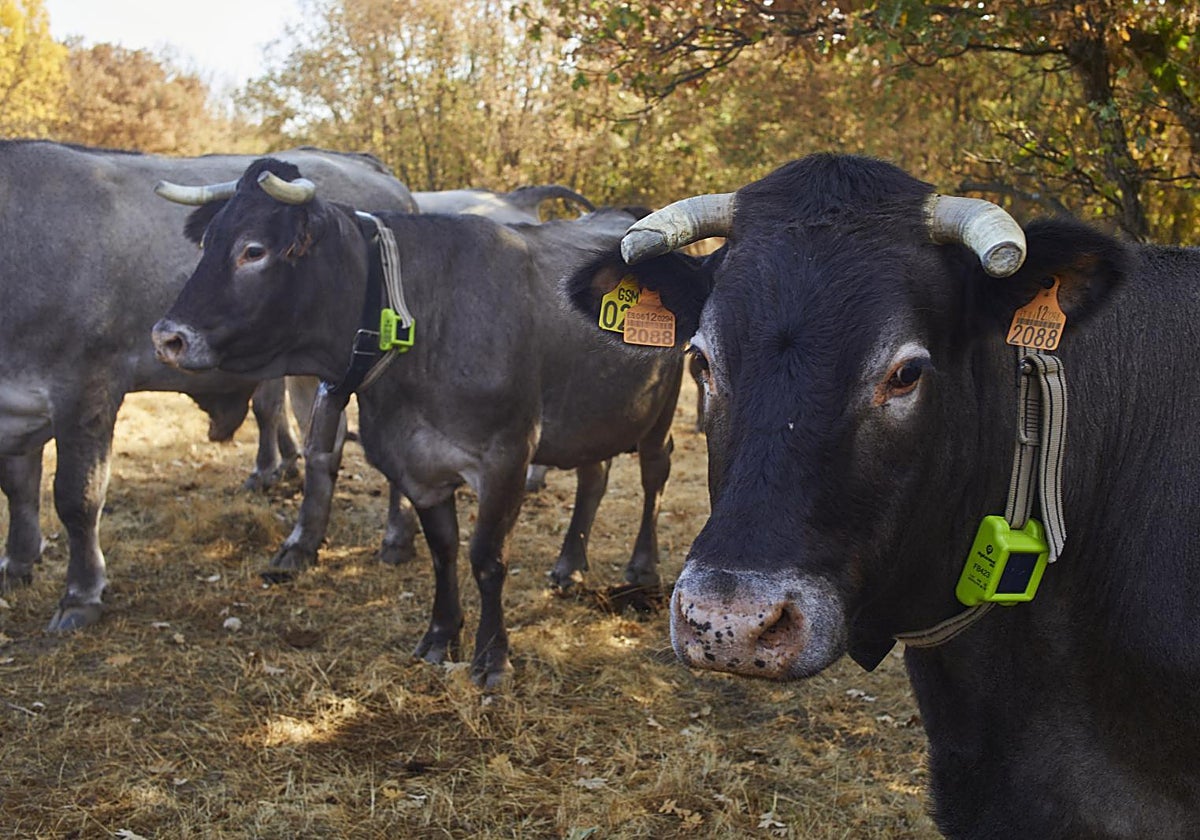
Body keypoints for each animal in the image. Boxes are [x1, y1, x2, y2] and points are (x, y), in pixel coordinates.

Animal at [0, 140, 416, 632]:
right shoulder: (14, 405)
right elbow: (17, 486)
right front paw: (17, 564)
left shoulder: (87, 390)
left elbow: (76, 497)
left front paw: (81, 595)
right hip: (312, 374)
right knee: (323, 450)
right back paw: (300, 545)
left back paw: (397, 537)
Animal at [150, 158, 683, 687]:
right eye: (207, 242)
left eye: (253, 250)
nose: (167, 337)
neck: (416, 318)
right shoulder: (415, 462)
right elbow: (443, 551)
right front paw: (441, 635)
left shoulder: (507, 455)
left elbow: (488, 557)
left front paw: (493, 657)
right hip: (593, 415)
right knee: (594, 476)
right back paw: (569, 564)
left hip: (659, 406)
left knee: (655, 473)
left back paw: (642, 567)